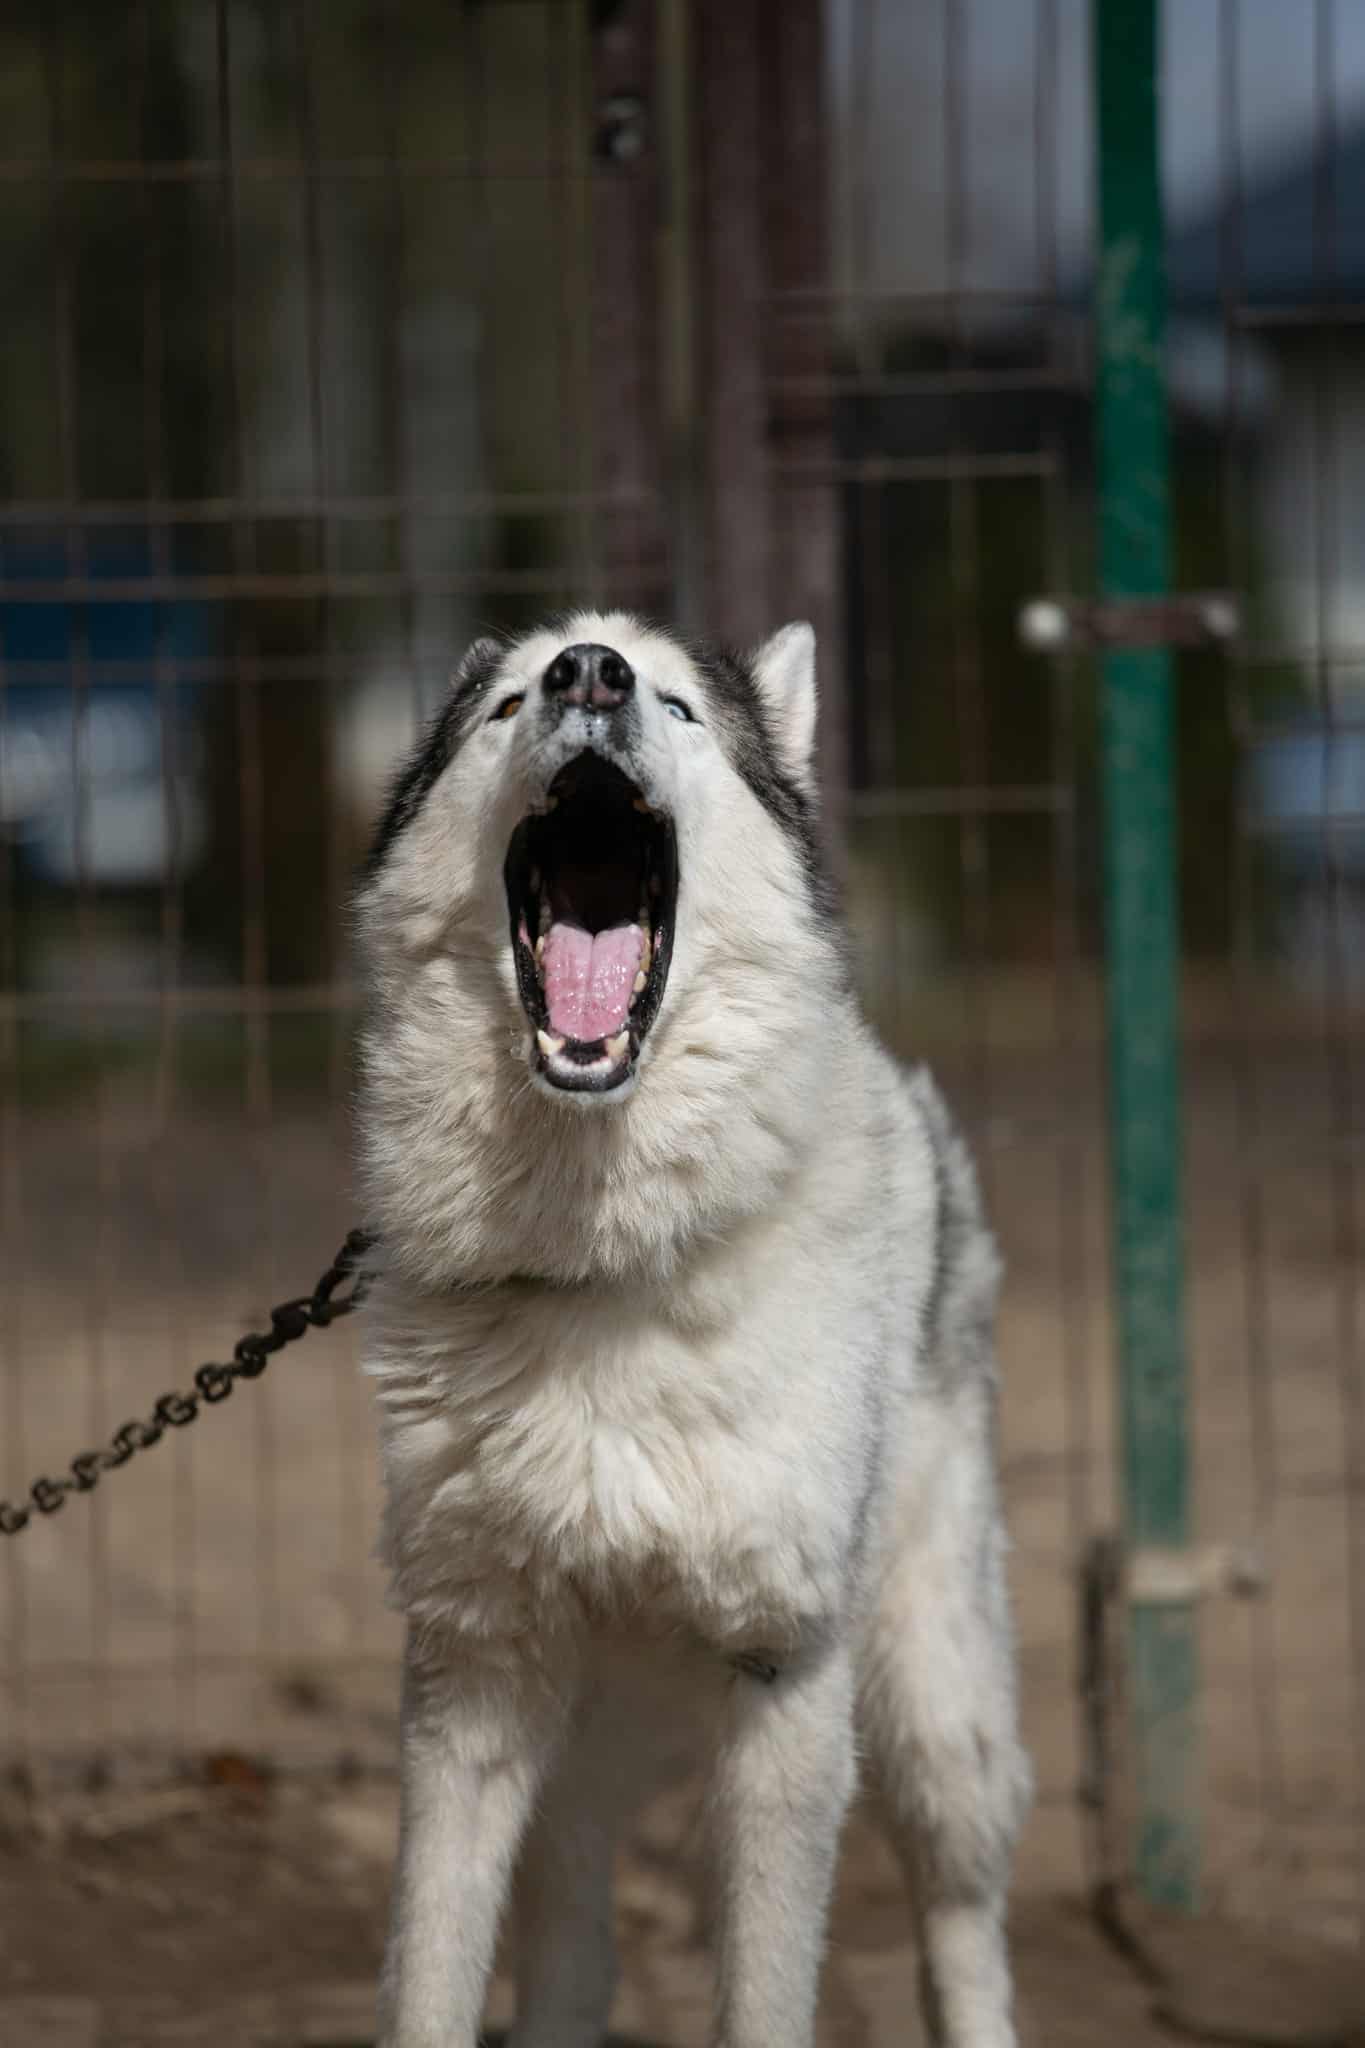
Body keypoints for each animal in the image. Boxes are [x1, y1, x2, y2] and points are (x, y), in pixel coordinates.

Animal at [354, 613, 1030, 2048]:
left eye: (674, 704)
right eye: (509, 704)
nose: (588, 673)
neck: (603, 1262)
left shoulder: (781, 1682)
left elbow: (768, 1993)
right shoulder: (471, 1683)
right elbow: (430, 1975)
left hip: (933, 1714)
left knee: (962, 1923)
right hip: (574, 1770)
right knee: (574, 1953)